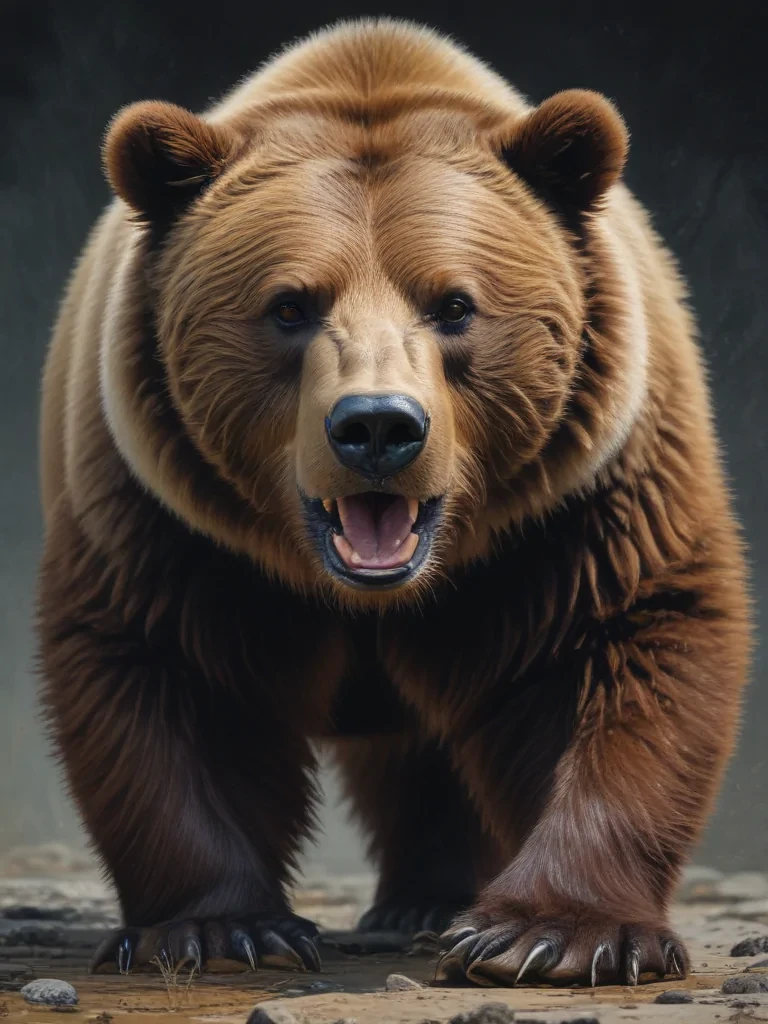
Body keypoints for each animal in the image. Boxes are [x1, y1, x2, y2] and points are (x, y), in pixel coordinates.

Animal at [37, 17, 751, 987]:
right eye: (289, 305)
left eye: (454, 305)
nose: (377, 426)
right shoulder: (166, 519)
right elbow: (169, 674)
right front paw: (221, 927)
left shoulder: (583, 501)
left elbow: (621, 644)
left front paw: (552, 933)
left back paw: (429, 898)